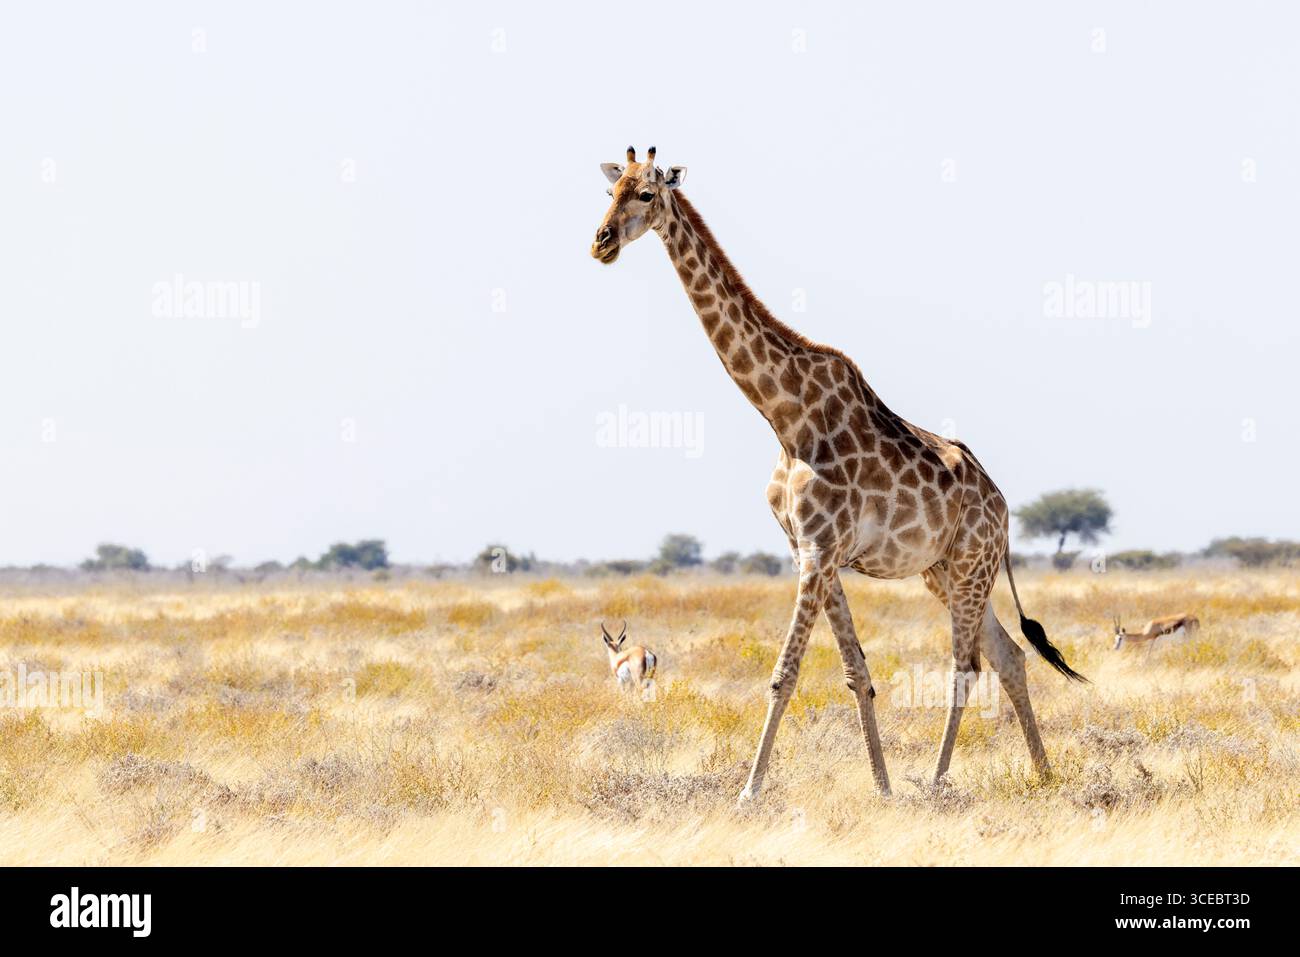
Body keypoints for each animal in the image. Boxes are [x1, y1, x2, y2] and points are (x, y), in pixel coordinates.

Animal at [590, 147, 1087, 803]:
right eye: (610, 191)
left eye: (646, 194)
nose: (600, 242)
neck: (784, 413)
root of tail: (1004, 508)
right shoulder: (808, 549)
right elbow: (857, 671)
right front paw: (881, 787)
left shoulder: (821, 549)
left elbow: (786, 672)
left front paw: (749, 793)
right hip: (943, 571)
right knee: (1009, 656)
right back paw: (1043, 774)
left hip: (970, 565)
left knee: (966, 667)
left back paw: (938, 782)